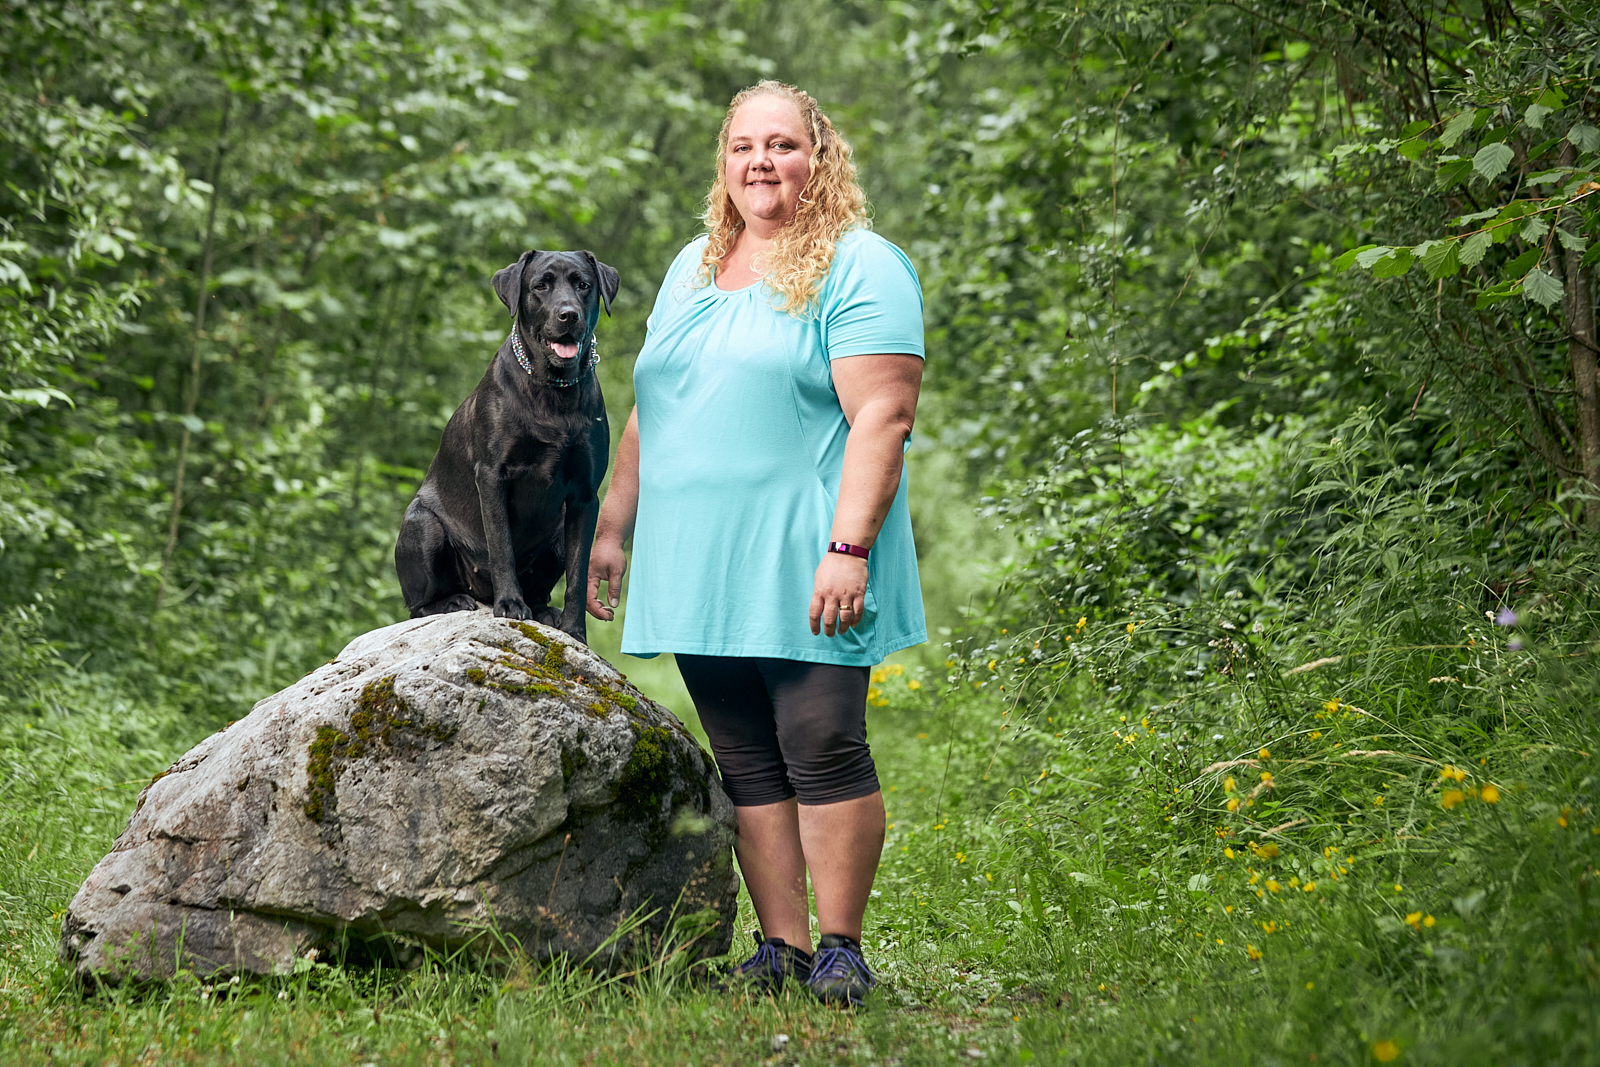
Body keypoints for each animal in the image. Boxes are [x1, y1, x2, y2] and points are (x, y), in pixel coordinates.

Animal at [395, 251, 617, 643]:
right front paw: (511, 604)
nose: (569, 314)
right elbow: (501, 548)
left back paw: (546, 611)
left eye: (584, 285)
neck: (552, 391)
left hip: (558, 531)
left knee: (542, 591)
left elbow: (578, 574)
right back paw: (452, 601)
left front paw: (575, 630)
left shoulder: (584, 495)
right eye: (540, 286)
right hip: (424, 525)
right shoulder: (493, 477)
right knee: (417, 606)